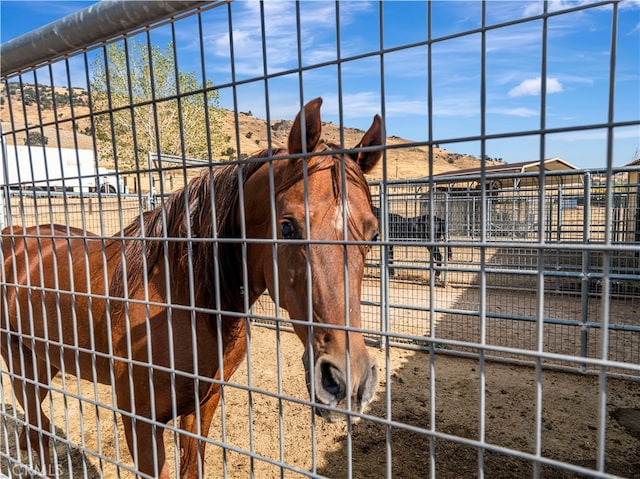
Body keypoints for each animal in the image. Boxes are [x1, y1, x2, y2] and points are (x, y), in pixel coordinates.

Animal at [1, 98, 384, 479]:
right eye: (288, 227)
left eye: (373, 234)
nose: (347, 380)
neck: (181, 301)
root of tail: (14, 235)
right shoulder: (140, 423)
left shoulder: (202, 407)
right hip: (22, 368)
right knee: (36, 427)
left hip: (44, 362)